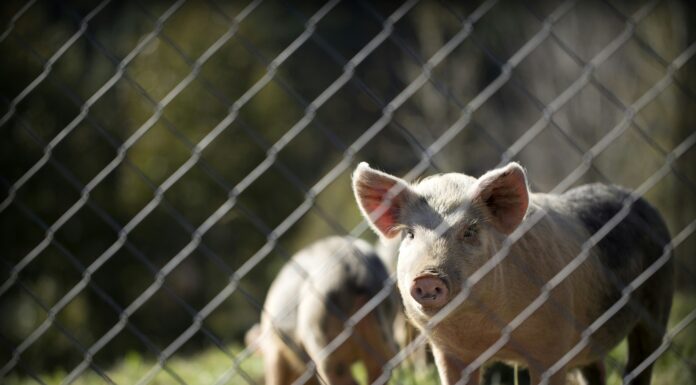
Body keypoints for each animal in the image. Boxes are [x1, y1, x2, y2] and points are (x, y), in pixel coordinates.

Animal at [354, 162, 676, 384]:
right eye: (410, 234)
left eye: (470, 232)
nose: (427, 277)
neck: (487, 333)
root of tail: (641, 202)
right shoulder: (448, 353)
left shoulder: (552, 347)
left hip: (658, 301)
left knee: (640, 362)